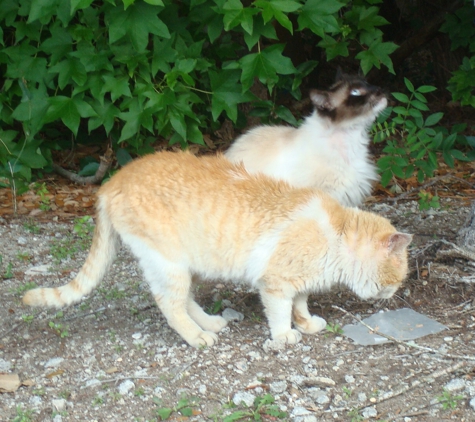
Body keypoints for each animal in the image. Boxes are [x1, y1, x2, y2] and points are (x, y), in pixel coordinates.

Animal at [24, 152, 412, 346]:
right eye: (397, 277)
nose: (394, 294)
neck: (336, 236)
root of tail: (109, 182)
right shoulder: (274, 284)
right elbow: (280, 312)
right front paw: (284, 335)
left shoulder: (296, 281)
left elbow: (301, 304)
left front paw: (306, 324)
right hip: (169, 264)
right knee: (169, 305)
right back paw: (198, 337)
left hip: (186, 267)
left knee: (185, 300)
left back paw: (210, 323)